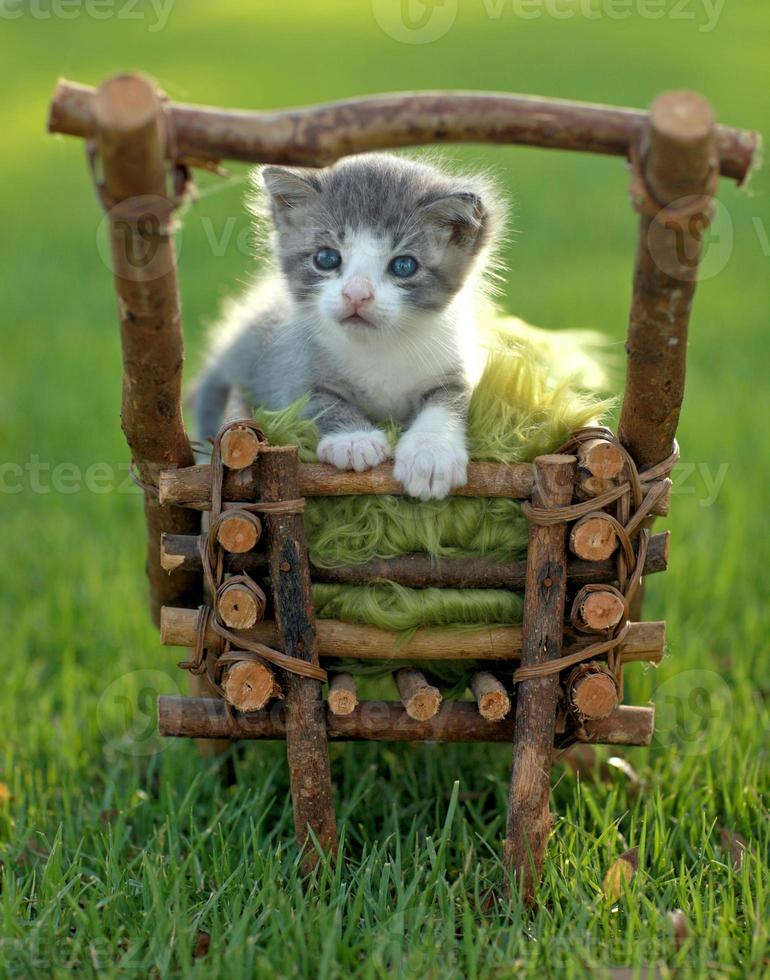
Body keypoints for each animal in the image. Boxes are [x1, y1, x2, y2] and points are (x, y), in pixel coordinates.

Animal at [195, 158, 500, 506]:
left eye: (404, 266)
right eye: (326, 258)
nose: (356, 294)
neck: (378, 347)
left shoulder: (458, 365)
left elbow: (450, 398)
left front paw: (431, 453)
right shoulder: (287, 367)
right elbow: (319, 400)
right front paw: (354, 440)